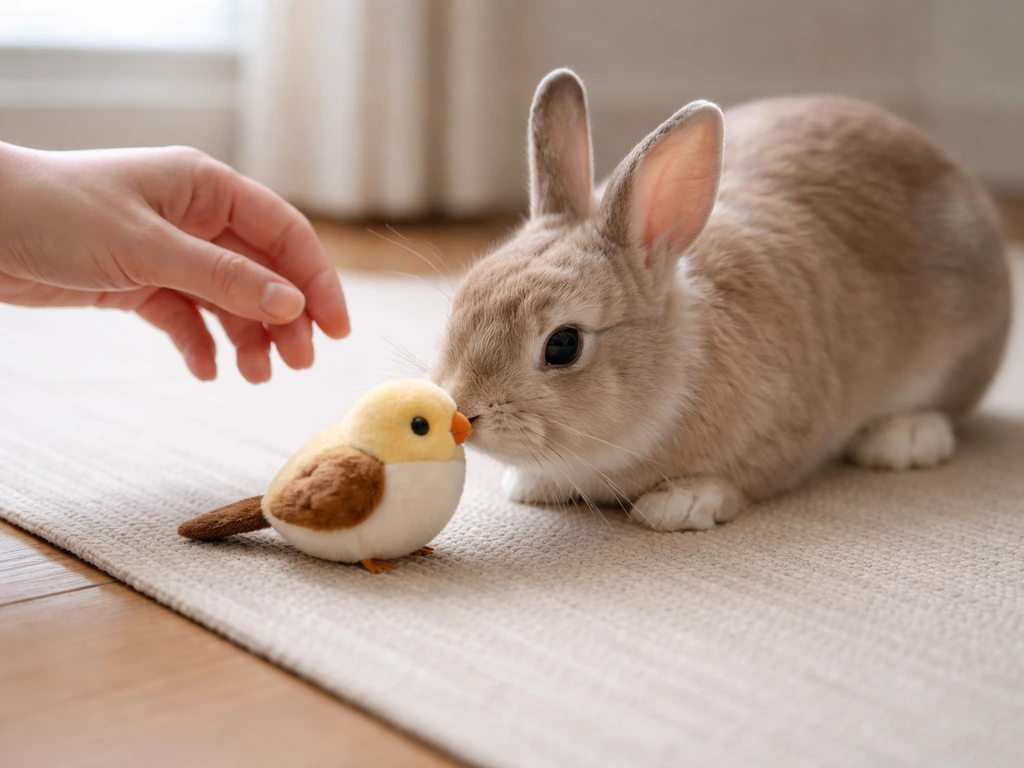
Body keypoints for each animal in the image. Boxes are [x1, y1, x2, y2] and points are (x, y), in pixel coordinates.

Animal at [432, 68, 1012, 531]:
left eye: (563, 345)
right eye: (460, 305)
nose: (463, 412)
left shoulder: (786, 432)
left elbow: (746, 478)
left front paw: (681, 506)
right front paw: (533, 485)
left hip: (960, 349)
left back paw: (904, 438)